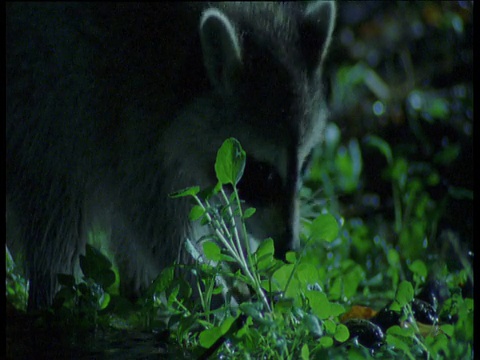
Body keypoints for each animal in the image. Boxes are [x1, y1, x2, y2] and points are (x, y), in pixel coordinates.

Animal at [5, 2, 336, 310]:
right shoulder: (129, 116)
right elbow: (152, 219)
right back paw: (52, 297)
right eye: (264, 174)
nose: (288, 248)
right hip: (41, 94)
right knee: (54, 199)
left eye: (305, 164)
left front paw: (241, 258)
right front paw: (213, 291)